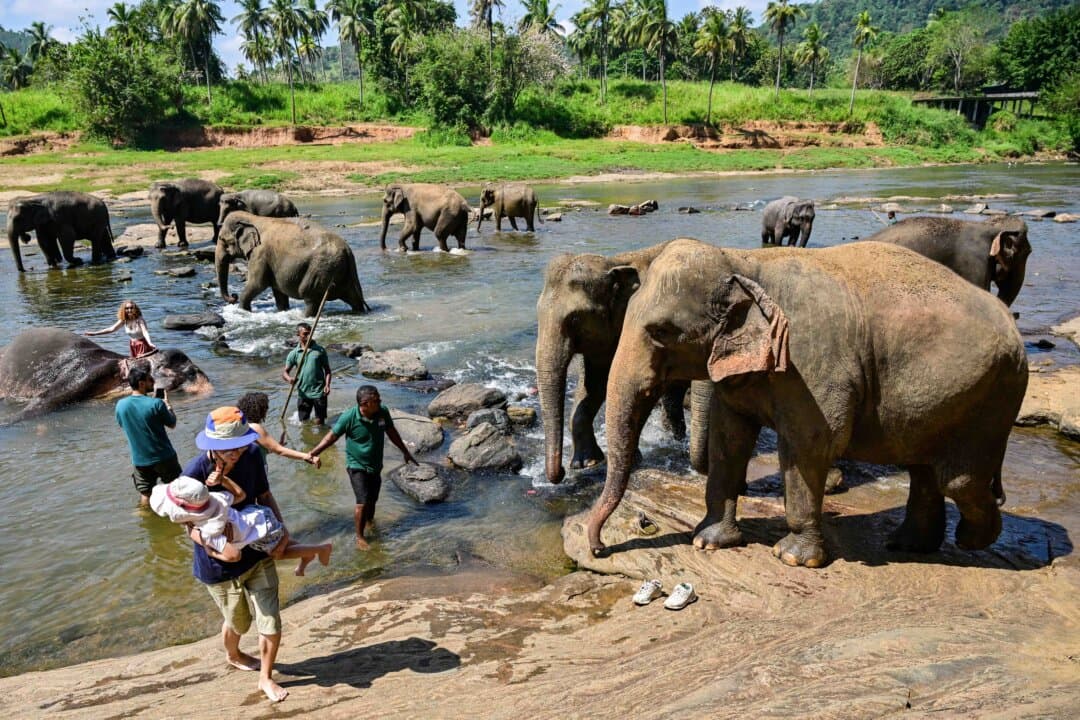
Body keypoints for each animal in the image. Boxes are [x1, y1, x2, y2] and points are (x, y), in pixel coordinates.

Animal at [216, 211, 371, 315]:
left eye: (222, 239)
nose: (233, 296)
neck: (253, 218)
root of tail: (347, 250)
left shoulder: (260, 253)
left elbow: (257, 283)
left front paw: (244, 311)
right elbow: (278, 291)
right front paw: (282, 311)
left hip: (321, 269)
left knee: (310, 297)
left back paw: (304, 317)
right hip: (343, 271)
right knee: (353, 297)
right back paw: (358, 312)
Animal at [538, 242, 709, 485]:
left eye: (575, 318)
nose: (560, 472)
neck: (613, 262)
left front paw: (632, 460)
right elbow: (594, 384)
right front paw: (586, 463)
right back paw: (673, 437)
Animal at [586, 238, 1027, 568]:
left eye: (661, 331)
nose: (600, 548)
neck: (745, 261)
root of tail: (1012, 325)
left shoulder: (811, 365)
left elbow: (810, 443)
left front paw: (793, 558)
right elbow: (729, 440)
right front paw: (708, 541)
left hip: (992, 398)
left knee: (958, 479)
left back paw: (973, 539)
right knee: (925, 469)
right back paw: (909, 545)